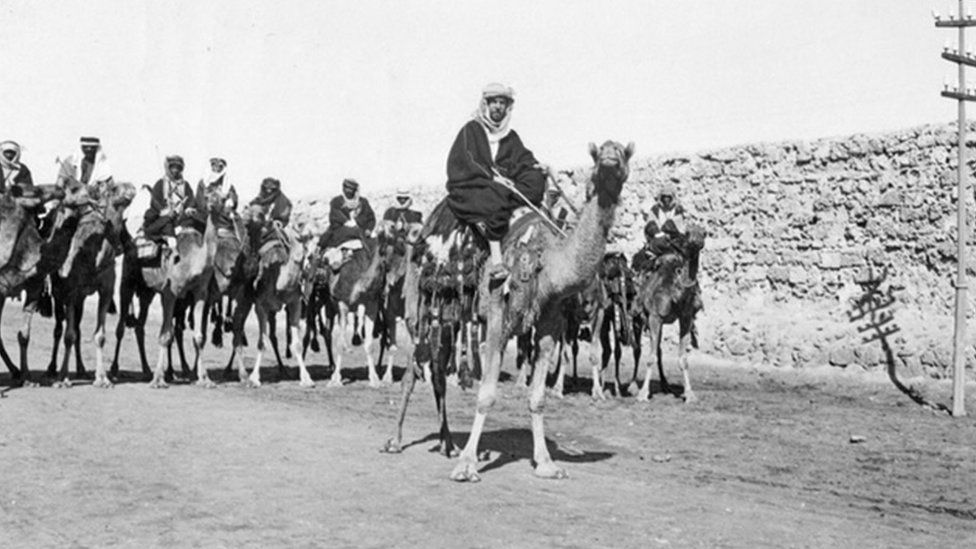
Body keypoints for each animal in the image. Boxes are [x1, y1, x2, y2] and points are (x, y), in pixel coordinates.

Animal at [448, 140, 632, 480]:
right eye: (597, 153)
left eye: (625, 152)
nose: (610, 153)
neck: (549, 264)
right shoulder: (500, 309)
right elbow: (487, 394)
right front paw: (465, 465)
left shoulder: (550, 316)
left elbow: (538, 396)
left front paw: (546, 462)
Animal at [628, 227, 704, 402]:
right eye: (688, 232)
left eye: (705, 232)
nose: (698, 238)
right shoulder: (654, 317)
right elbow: (650, 357)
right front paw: (643, 394)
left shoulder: (685, 318)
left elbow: (683, 359)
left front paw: (689, 395)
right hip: (637, 316)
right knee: (637, 349)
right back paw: (633, 386)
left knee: (658, 349)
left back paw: (665, 385)